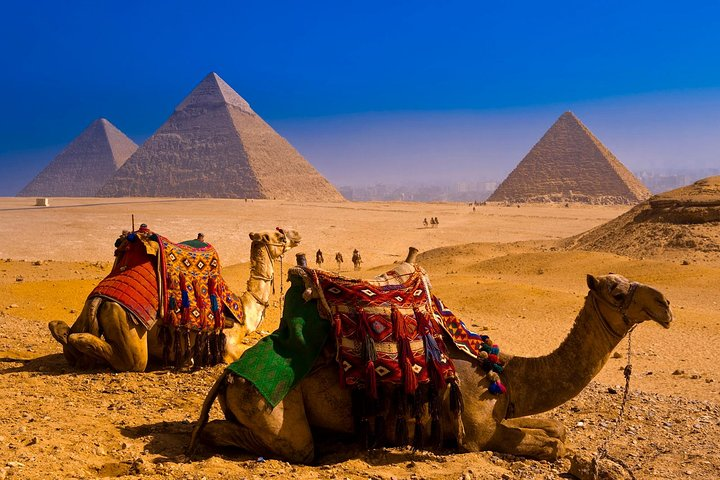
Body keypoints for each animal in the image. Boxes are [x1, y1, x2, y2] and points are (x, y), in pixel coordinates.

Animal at [48, 227, 300, 372]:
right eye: (279, 236)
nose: (296, 235)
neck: (244, 309)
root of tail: (100, 300)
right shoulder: (227, 345)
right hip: (127, 328)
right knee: (129, 361)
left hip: (88, 309)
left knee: (69, 341)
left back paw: (61, 331)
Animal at [190, 251, 672, 464]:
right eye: (617, 292)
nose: (665, 304)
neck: (505, 372)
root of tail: (227, 377)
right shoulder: (477, 434)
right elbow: (554, 444)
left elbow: (557, 427)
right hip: (270, 407)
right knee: (282, 444)